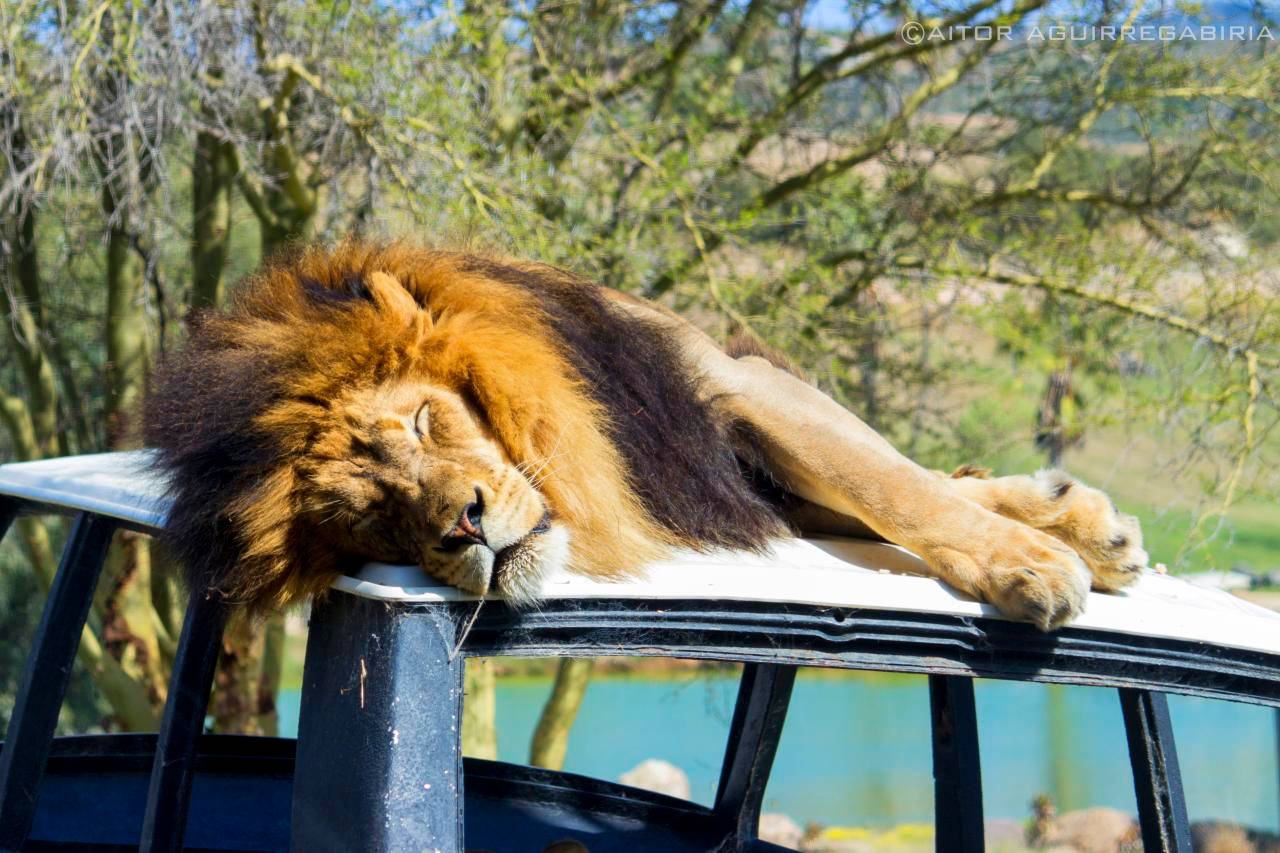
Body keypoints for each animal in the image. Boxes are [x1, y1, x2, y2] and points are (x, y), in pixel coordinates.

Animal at [145, 239, 1146, 625]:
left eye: (426, 420)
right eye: (370, 519)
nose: (464, 527)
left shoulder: (731, 388)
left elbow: (897, 485)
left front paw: (1031, 560)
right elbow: (900, 488)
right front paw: (1039, 544)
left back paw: (1085, 526)